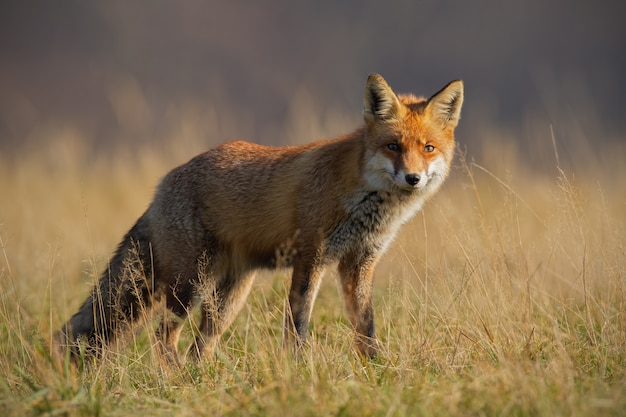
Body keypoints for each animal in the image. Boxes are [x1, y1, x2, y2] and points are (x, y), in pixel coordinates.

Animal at [56, 74, 460, 360]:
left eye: (428, 148)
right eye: (393, 146)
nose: (413, 178)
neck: (364, 199)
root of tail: (163, 184)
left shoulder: (359, 262)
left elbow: (366, 328)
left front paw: (376, 372)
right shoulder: (311, 255)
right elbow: (298, 326)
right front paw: (298, 370)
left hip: (229, 297)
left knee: (199, 347)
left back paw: (201, 383)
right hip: (190, 285)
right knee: (162, 337)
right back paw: (174, 383)